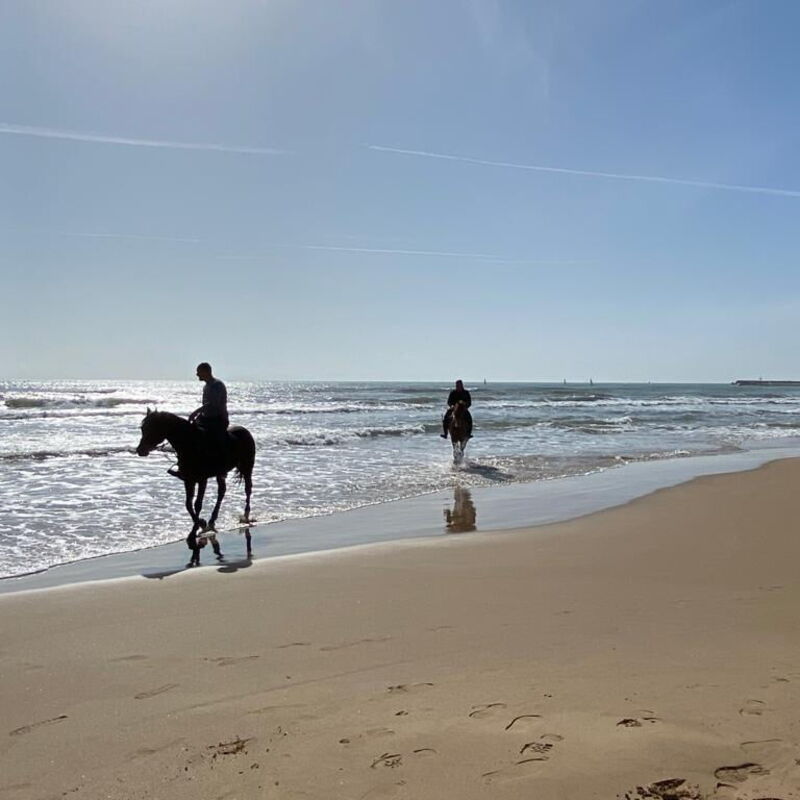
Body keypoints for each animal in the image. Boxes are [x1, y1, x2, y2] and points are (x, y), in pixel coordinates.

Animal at [136, 409, 255, 566]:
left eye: (153, 427)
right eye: (143, 428)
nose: (140, 450)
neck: (190, 444)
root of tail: (245, 431)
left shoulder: (202, 480)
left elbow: (197, 504)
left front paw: (193, 533)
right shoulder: (189, 480)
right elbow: (188, 505)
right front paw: (201, 524)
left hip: (247, 467)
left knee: (247, 489)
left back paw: (245, 516)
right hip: (221, 473)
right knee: (221, 491)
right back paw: (211, 521)